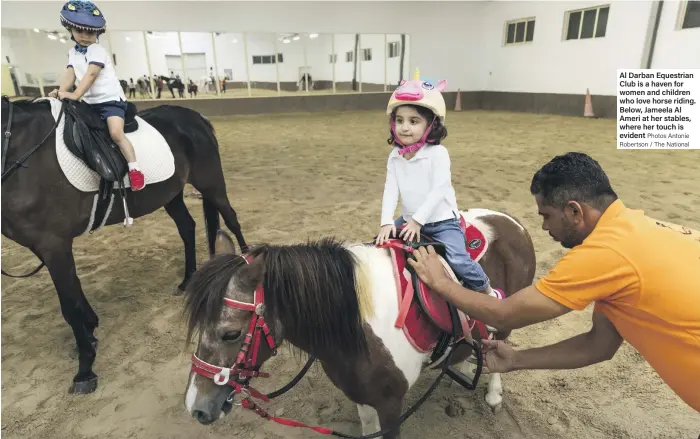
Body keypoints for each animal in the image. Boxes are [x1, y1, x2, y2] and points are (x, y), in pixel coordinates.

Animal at [1, 96, 247, 396]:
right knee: (187, 228)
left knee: (231, 219)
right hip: (172, 194)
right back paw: (187, 279)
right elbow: (73, 292)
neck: (23, 151)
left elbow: (69, 305)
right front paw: (91, 330)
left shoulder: (53, 244)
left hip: (210, 183)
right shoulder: (45, 247)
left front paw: (85, 369)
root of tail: (194, 116)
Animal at [182, 210, 536, 439]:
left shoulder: (392, 405)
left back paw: (493, 394)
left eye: (231, 333)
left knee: (499, 346)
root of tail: (509, 220)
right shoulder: (361, 394)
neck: (357, 327)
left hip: (505, 316)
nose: (195, 408)